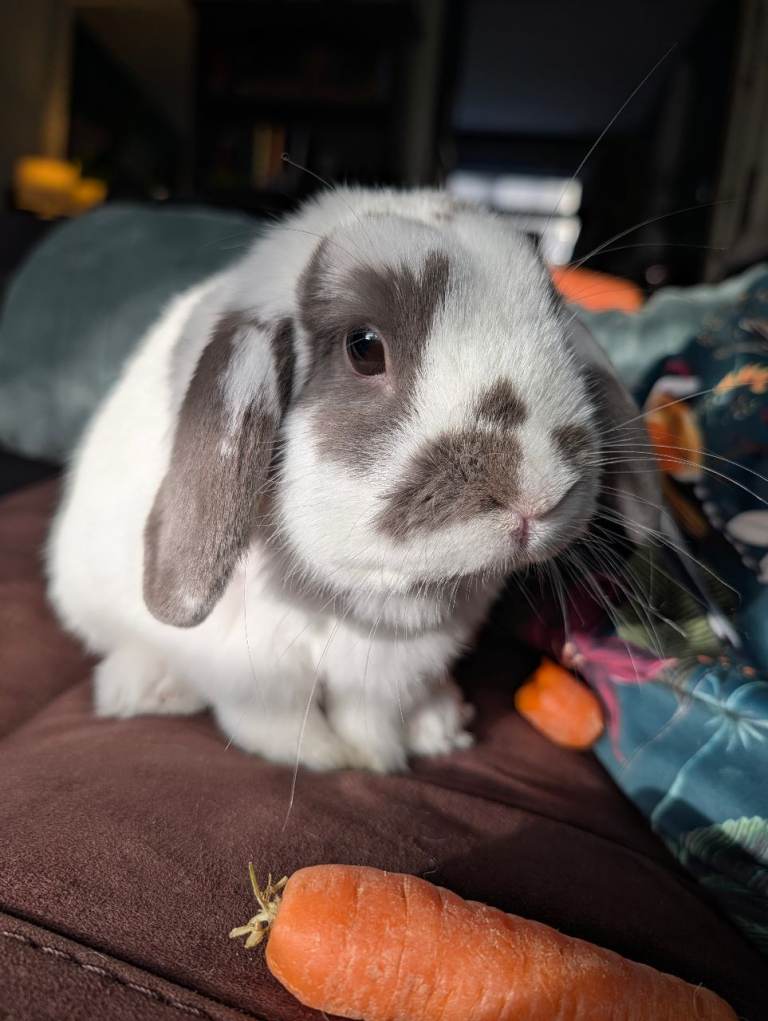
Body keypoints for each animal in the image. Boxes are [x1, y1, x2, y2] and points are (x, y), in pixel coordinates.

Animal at [46, 186, 659, 772]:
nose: (537, 494)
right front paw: (322, 755)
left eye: (557, 331)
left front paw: (379, 751)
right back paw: (143, 689)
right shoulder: (249, 668)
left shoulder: (398, 667)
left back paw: (441, 722)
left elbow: (373, 711)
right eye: (364, 348)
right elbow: (272, 718)